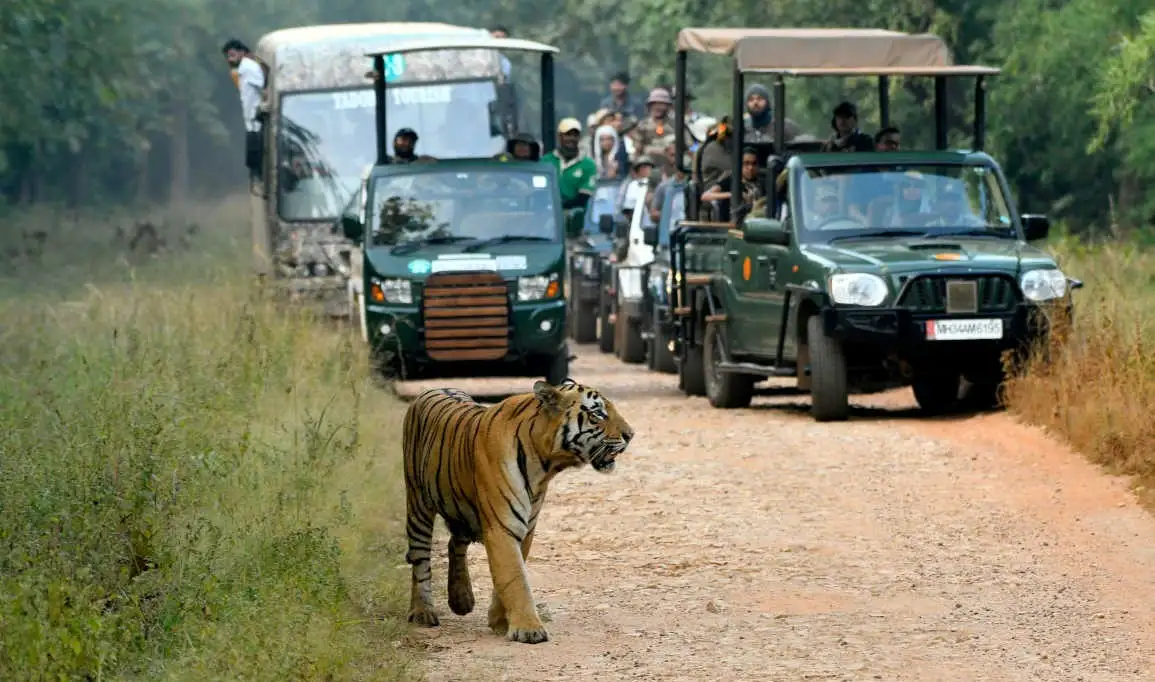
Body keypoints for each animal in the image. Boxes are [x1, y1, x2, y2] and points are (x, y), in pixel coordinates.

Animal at [401, 379, 637, 647]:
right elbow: (515, 577)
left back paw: (462, 600)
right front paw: (528, 629)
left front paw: (500, 621)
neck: (546, 464)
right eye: (598, 414)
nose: (630, 435)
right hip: (418, 504)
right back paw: (422, 612)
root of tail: (432, 389)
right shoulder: (503, 526)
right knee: (421, 561)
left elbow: (510, 574)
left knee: (455, 543)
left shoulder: (526, 527)